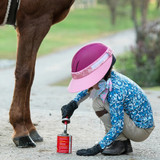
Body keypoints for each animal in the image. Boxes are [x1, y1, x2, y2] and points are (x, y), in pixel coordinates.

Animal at [0, 0, 74, 148]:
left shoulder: (23, 27)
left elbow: (31, 76)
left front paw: (29, 127)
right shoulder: (34, 22)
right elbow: (25, 73)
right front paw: (21, 131)